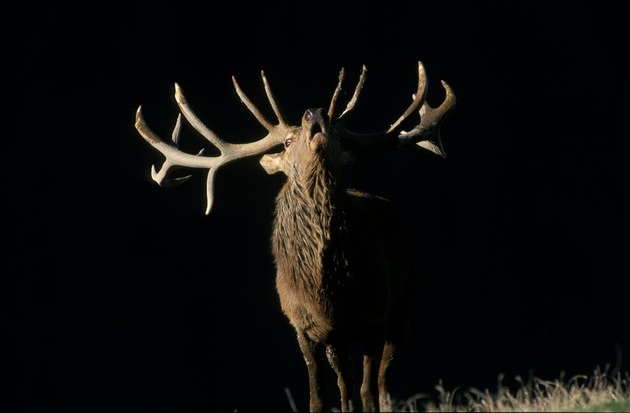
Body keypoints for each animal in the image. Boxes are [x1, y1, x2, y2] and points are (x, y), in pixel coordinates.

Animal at [136, 59, 456, 410]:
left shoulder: (375, 314)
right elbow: (318, 397)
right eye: (288, 142)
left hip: (403, 304)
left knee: (381, 383)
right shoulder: (304, 327)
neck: (329, 291)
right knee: (345, 383)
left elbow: (369, 392)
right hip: (341, 339)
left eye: (338, 136)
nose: (315, 112)